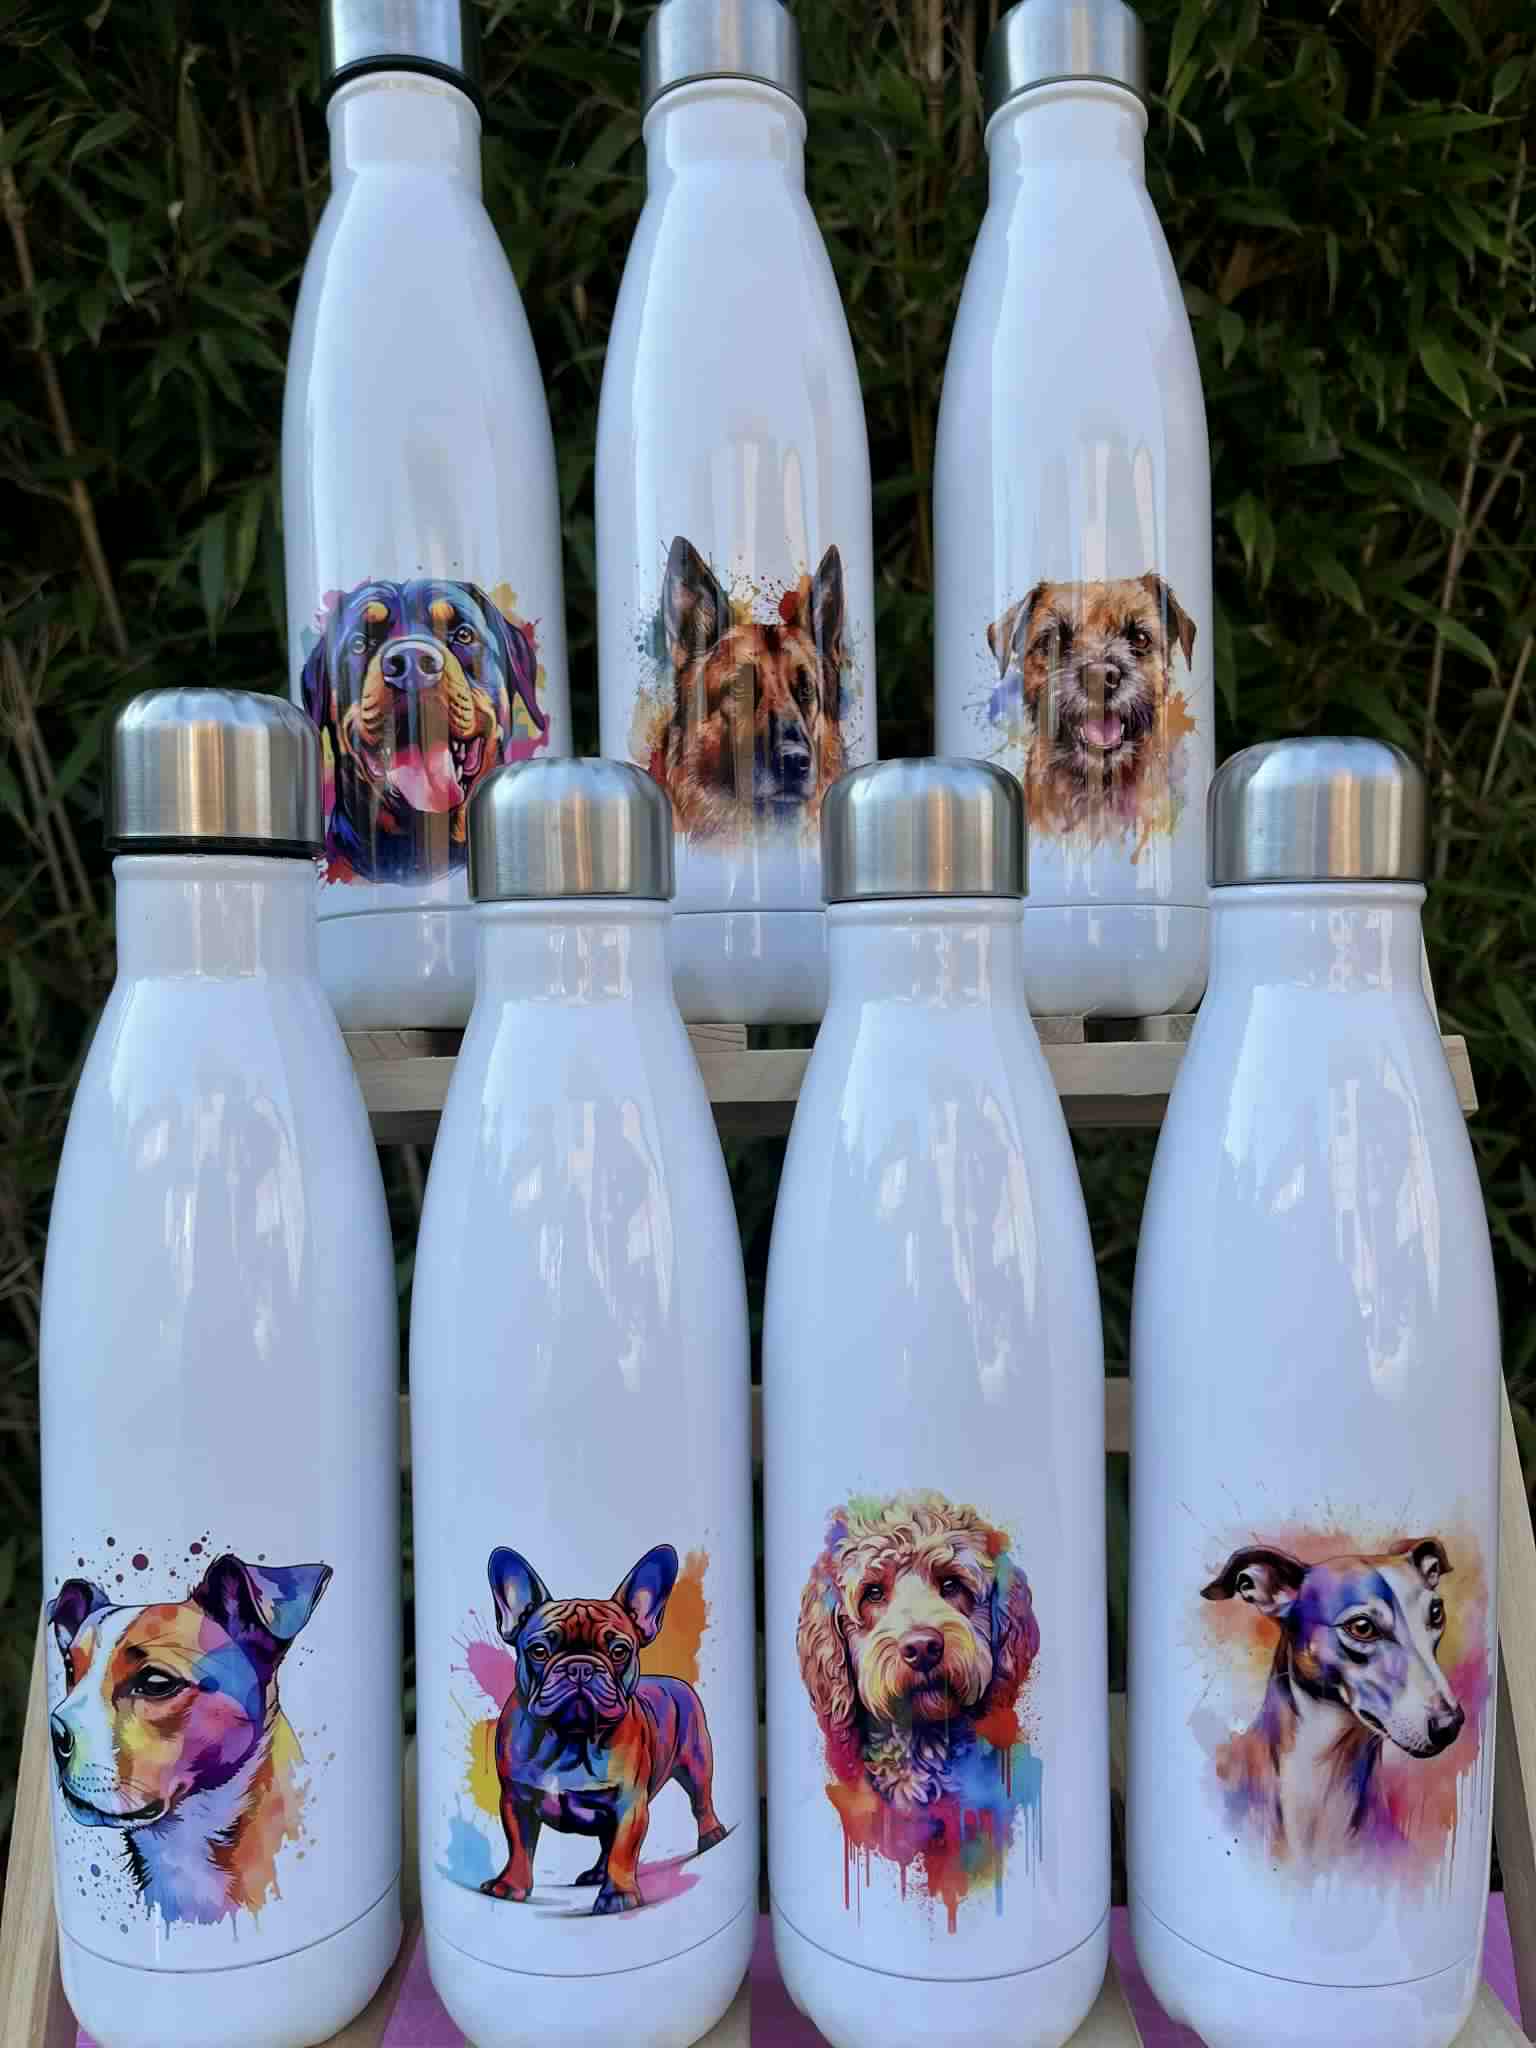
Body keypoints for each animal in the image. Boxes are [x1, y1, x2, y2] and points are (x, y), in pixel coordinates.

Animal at [480, 1543, 728, 1915]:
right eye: (539, 1650)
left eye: (619, 1650)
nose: (580, 1667)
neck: (570, 1740)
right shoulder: (516, 1800)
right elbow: (520, 1848)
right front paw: (510, 1885)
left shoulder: (629, 1805)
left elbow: (623, 1852)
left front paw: (619, 1895)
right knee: (605, 1843)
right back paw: (596, 1874)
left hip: (697, 1762)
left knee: (701, 1801)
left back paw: (712, 1835)